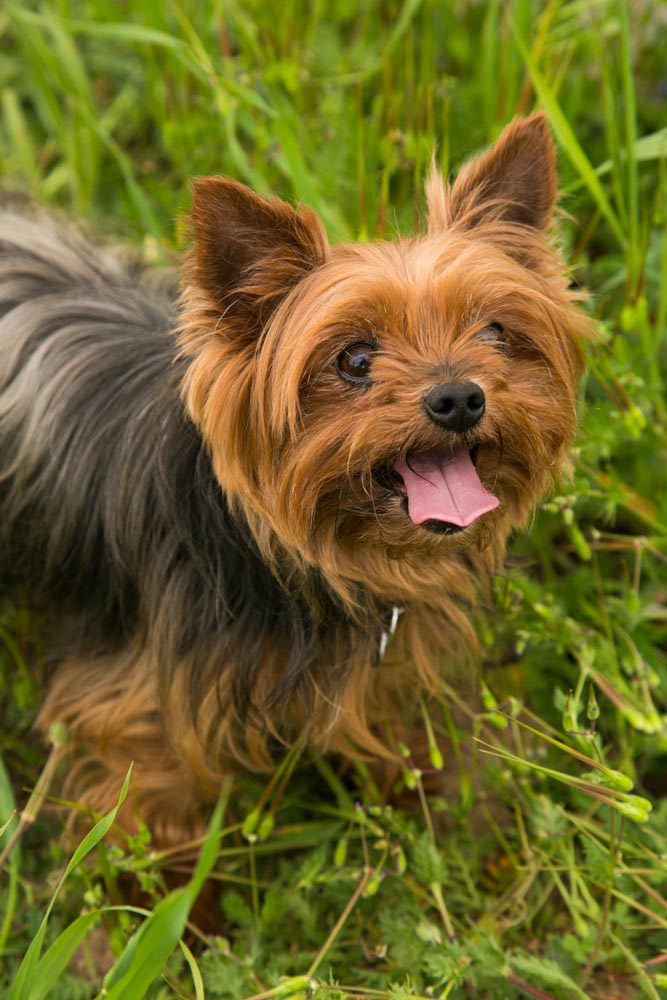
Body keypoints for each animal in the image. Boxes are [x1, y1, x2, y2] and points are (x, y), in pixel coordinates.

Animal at [0, 113, 596, 848]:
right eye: (356, 359)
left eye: (494, 333)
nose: (459, 397)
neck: (292, 561)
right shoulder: (131, 703)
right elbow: (150, 803)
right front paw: (160, 877)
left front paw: (444, 810)